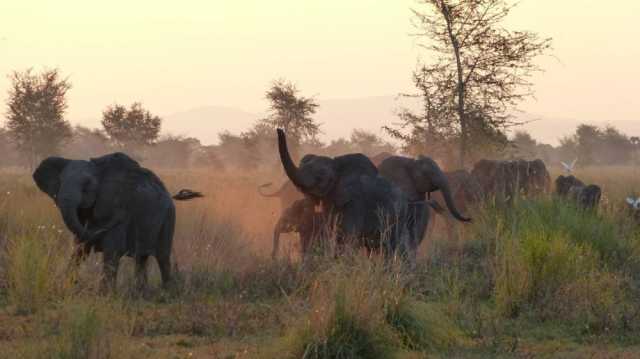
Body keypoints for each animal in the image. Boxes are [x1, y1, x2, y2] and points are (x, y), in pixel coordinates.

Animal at [31, 151, 198, 290]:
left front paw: (104, 295)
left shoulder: (117, 204)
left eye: (87, 186)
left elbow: (112, 250)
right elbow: (80, 248)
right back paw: (141, 291)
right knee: (141, 258)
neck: (97, 170)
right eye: (60, 182)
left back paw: (167, 291)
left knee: (162, 257)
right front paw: (68, 286)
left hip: (169, 216)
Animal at [276, 129, 410, 262]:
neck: (337, 165)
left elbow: (349, 238)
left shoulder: (356, 203)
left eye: (320, 178)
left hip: (398, 217)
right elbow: (333, 235)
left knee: (392, 246)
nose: (279, 130)